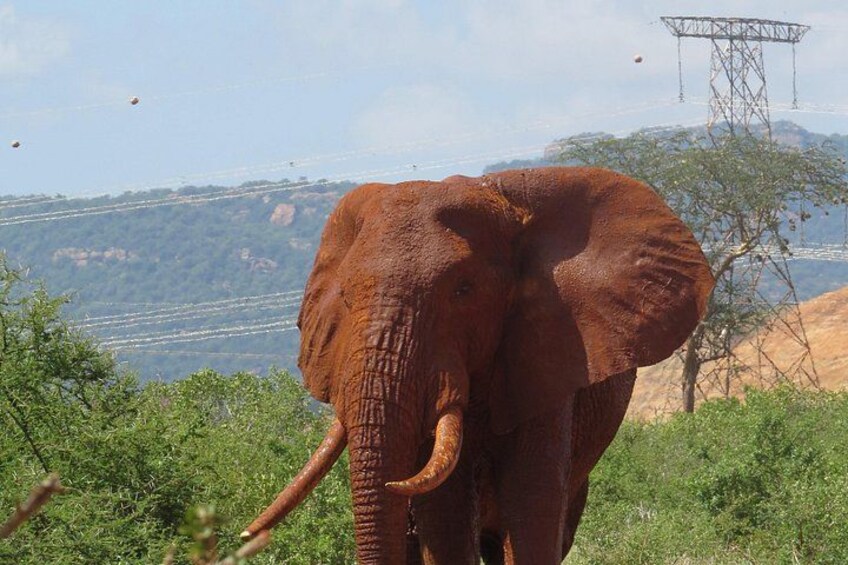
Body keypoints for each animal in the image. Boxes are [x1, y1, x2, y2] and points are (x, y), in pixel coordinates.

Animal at [241, 167, 714, 564]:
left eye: (463, 290)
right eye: (345, 298)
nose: (246, 535)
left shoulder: (549, 351)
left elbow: (531, 501)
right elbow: (446, 515)